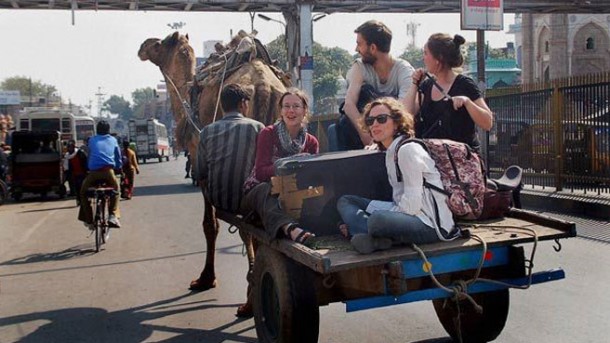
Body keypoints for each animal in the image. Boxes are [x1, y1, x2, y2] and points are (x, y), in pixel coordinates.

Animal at [138, 33, 290, 296]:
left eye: (159, 44)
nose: (142, 47)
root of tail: (264, 87)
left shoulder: (202, 159)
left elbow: (210, 224)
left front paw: (206, 278)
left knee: (250, 224)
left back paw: (252, 289)